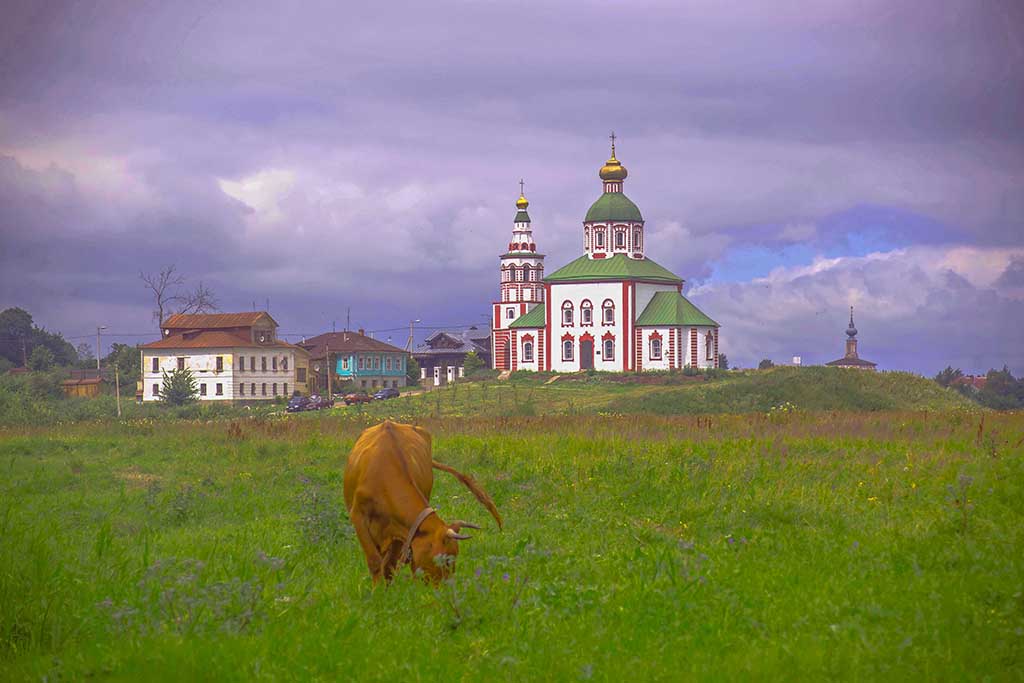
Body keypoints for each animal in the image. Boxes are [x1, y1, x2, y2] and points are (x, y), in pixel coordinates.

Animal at [344, 421, 503, 581]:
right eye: (445, 560)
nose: (447, 585)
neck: (384, 477)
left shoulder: (400, 530)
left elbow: (389, 565)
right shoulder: (358, 516)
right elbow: (375, 562)